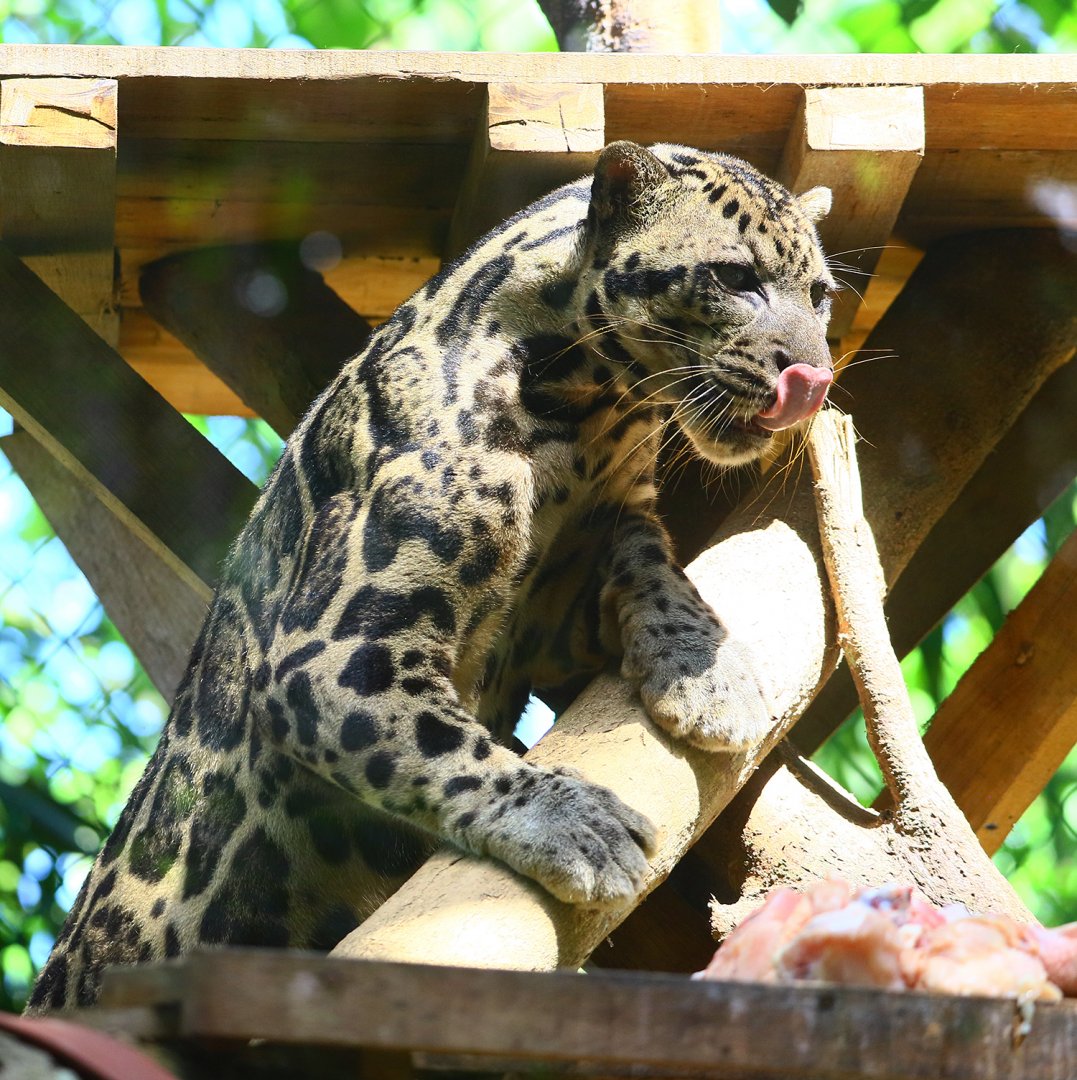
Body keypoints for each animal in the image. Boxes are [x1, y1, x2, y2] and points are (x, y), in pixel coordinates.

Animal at [27, 141, 835, 1011]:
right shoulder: (333, 656)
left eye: (820, 295)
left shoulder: (576, 581)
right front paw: (575, 824)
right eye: (733, 276)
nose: (813, 376)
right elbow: (443, 744)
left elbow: (650, 557)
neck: (590, 414)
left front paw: (702, 669)